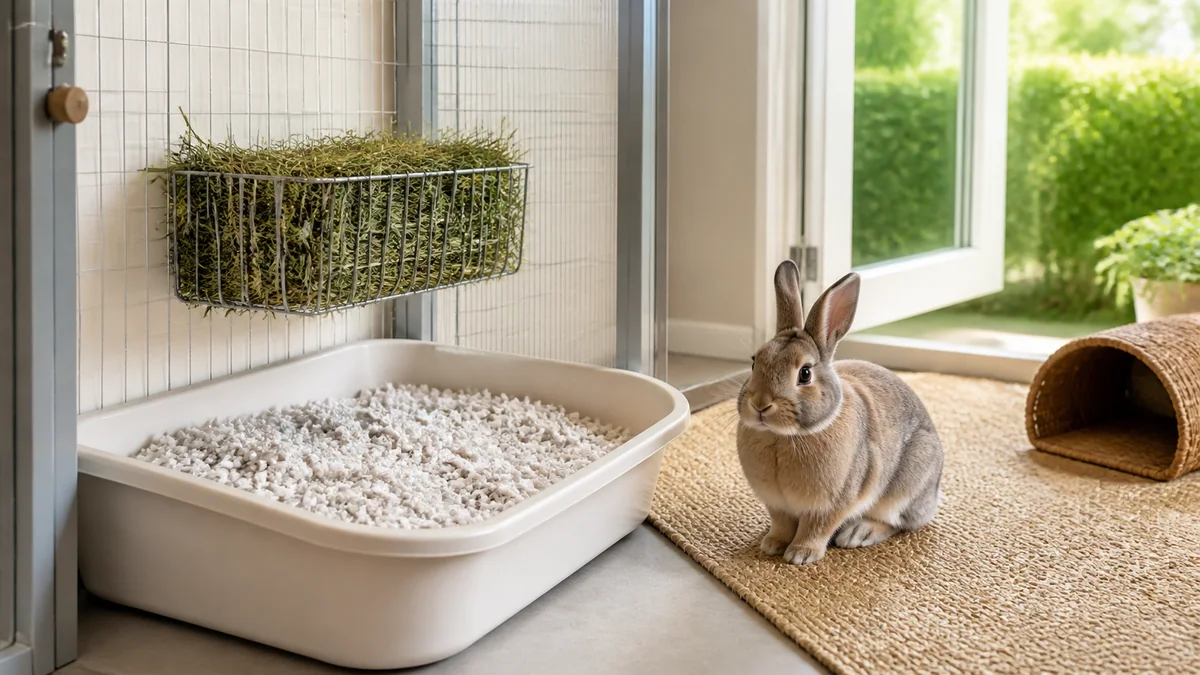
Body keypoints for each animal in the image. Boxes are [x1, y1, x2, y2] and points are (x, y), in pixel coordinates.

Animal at [736, 260, 944, 565]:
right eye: (754, 362)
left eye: (805, 373)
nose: (760, 404)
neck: (782, 437)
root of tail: (934, 496)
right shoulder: (777, 504)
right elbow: (782, 523)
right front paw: (772, 545)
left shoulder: (833, 503)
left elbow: (817, 527)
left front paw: (800, 554)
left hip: (905, 486)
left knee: (898, 522)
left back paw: (858, 533)